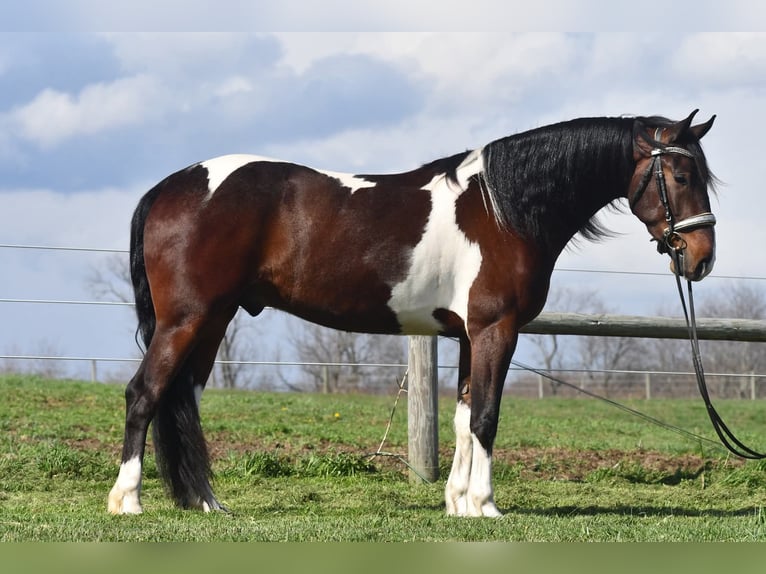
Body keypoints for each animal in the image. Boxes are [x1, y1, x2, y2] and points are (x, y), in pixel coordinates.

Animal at [108, 110, 717, 517]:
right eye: (682, 177)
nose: (702, 258)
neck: (503, 210)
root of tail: (171, 186)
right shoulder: (496, 330)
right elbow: (487, 416)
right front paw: (486, 505)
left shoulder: (471, 336)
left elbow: (465, 416)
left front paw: (459, 503)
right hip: (187, 318)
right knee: (145, 394)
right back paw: (127, 500)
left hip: (212, 319)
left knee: (183, 398)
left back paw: (206, 503)